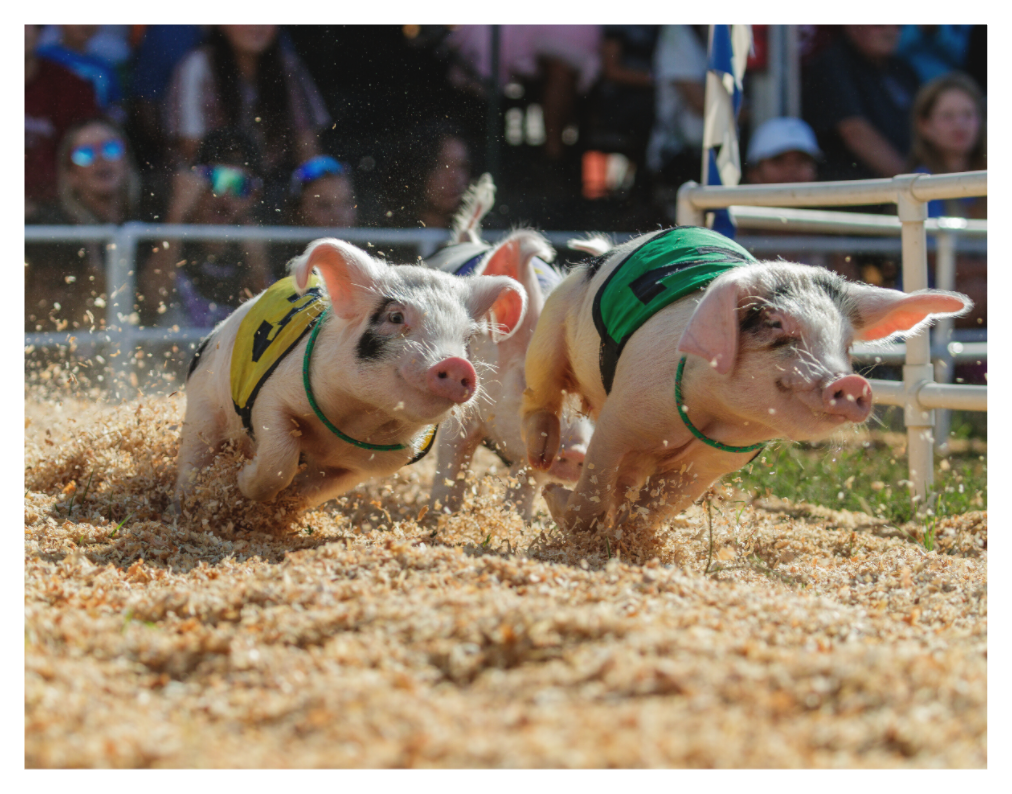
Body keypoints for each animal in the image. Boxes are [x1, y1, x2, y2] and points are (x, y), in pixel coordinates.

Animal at [175, 237, 527, 512]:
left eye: (468, 339)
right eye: (395, 316)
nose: (456, 363)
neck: (358, 420)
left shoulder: (371, 464)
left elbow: (316, 489)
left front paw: (284, 508)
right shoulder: (272, 399)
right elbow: (281, 455)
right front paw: (243, 482)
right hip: (203, 406)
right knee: (193, 458)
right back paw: (184, 507)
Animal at [423, 174, 593, 520]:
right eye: (532, 380)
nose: (577, 452)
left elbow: (525, 483)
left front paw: (519, 520)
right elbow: (451, 464)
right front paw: (439, 518)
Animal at [521, 225, 973, 534]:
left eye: (846, 344)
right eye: (775, 323)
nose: (851, 384)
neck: (712, 409)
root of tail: (604, 254)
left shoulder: (715, 460)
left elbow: (657, 506)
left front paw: (626, 536)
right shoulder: (621, 420)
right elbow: (594, 482)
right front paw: (561, 506)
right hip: (550, 325)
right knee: (540, 391)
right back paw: (542, 457)